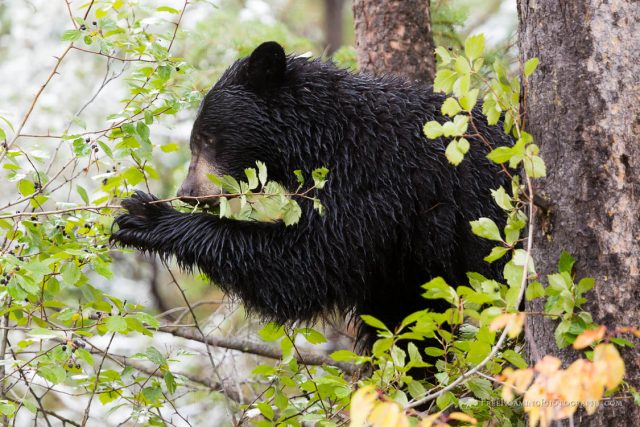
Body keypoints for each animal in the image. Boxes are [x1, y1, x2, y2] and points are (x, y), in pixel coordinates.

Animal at [111, 42, 510, 352]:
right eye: (197, 139)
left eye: (207, 138)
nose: (188, 193)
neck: (327, 134)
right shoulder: (404, 255)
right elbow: (407, 320)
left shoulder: (374, 180)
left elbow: (309, 262)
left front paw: (145, 218)